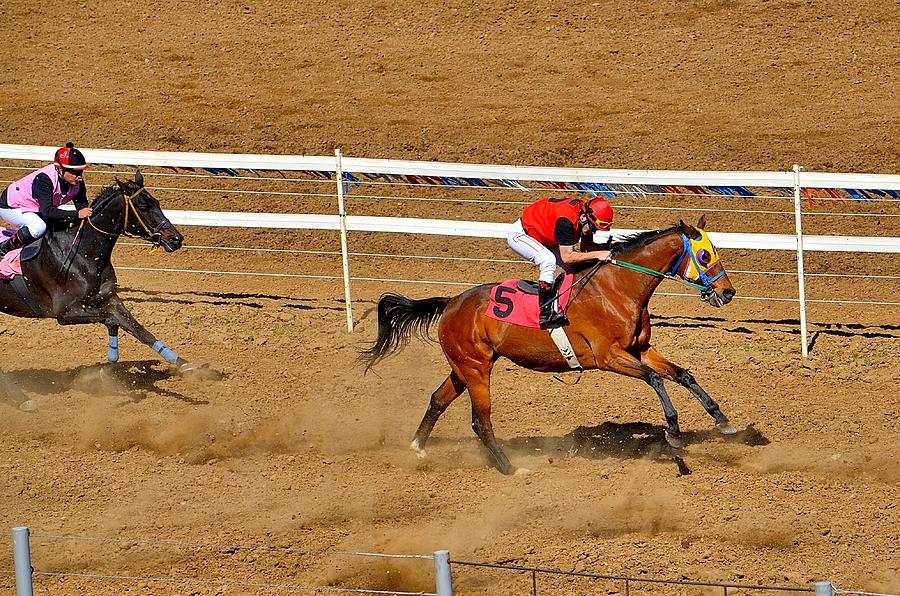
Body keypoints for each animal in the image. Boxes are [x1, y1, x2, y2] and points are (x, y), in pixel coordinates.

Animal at [0, 170, 195, 408]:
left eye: (156, 202)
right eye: (142, 206)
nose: (176, 238)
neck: (82, 253)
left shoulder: (109, 299)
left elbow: (138, 328)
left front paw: (187, 365)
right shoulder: (65, 313)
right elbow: (112, 322)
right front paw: (104, 373)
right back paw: (22, 399)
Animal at [364, 215, 740, 474]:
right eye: (705, 257)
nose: (727, 292)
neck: (619, 287)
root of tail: (451, 302)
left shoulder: (640, 349)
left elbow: (683, 374)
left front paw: (722, 420)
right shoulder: (608, 356)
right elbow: (656, 379)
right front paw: (673, 429)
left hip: (464, 366)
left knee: (438, 400)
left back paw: (417, 447)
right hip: (476, 369)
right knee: (480, 421)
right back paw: (510, 468)